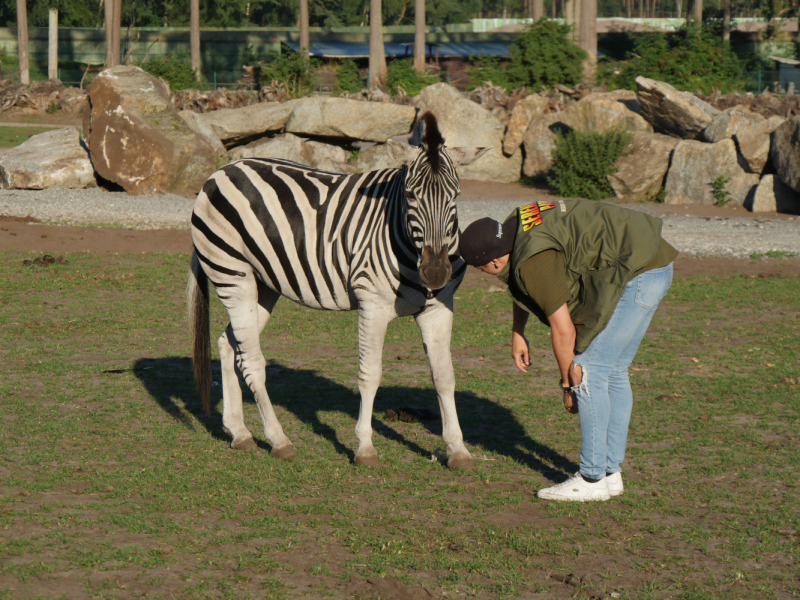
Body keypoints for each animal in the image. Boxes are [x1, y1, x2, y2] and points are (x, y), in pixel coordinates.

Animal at [187, 112, 488, 468]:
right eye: (411, 196)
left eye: (455, 196)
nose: (436, 273)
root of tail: (223, 170)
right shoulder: (372, 305)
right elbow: (370, 375)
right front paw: (365, 448)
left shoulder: (439, 309)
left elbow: (444, 377)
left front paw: (458, 450)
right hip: (233, 276)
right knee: (253, 362)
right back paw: (278, 440)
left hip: (263, 284)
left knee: (229, 344)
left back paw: (239, 432)